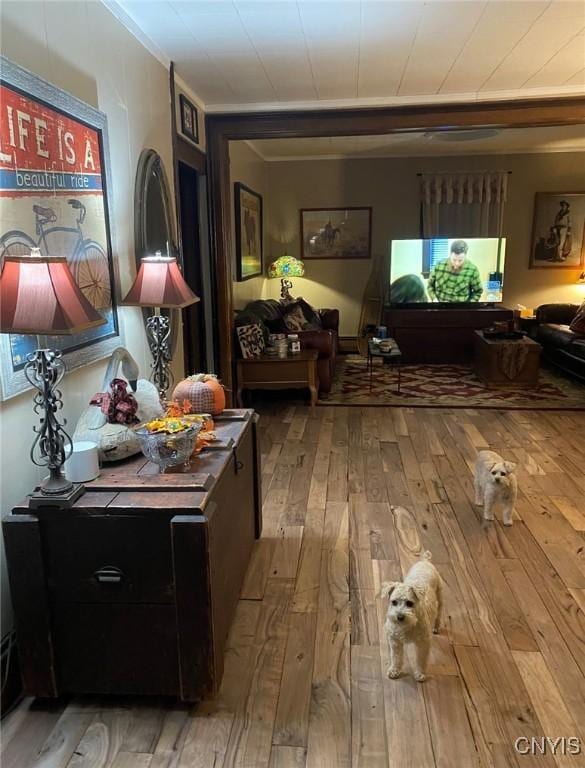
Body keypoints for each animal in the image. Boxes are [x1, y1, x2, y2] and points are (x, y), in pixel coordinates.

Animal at [380, 552, 440, 684]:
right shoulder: (395, 641)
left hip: (440, 596)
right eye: (394, 602)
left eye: (409, 603)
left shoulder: (423, 643)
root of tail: (425, 561)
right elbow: (396, 657)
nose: (399, 617)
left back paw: (437, 627)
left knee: (439, 614)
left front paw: (420, 673)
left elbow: (420, 659)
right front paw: (394, 670)